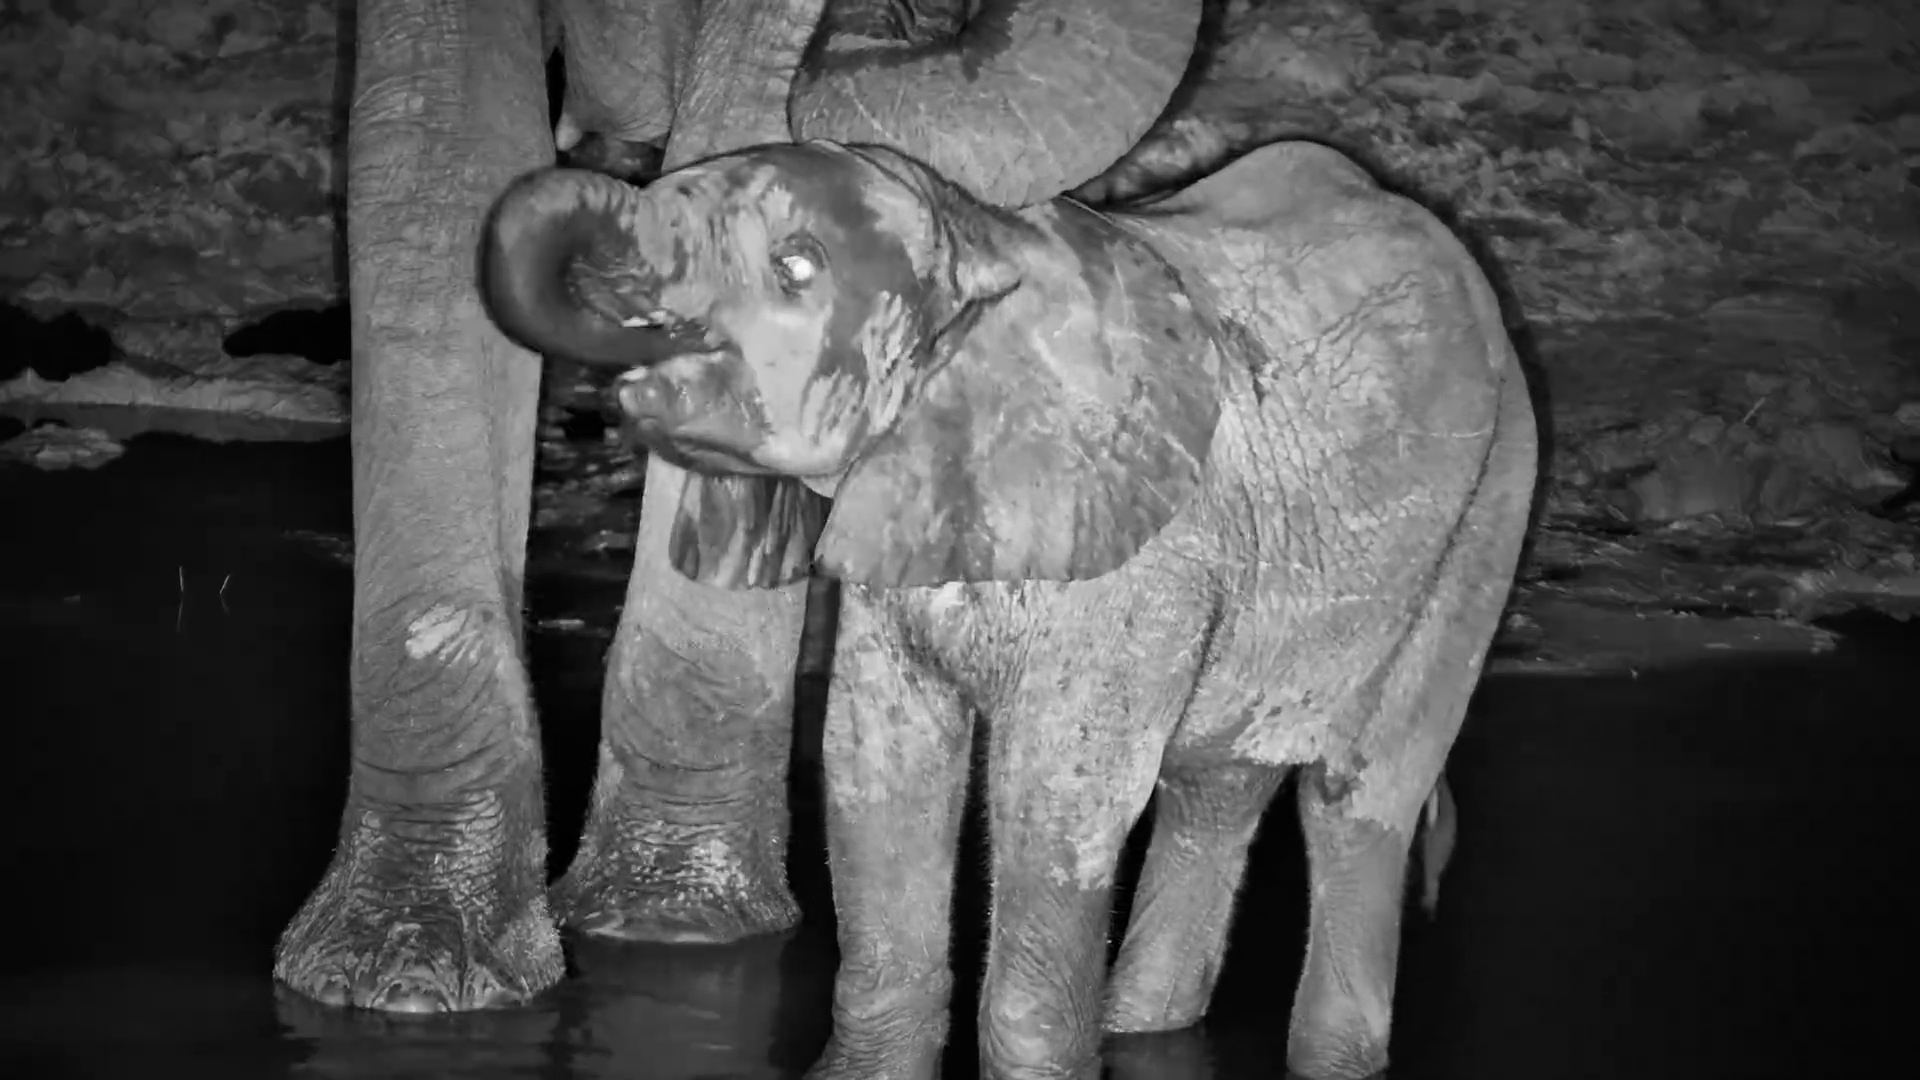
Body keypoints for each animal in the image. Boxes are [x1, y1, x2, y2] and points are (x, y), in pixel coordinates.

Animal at [477, 138, 1536, 1079]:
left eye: (795, 266)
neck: (976, 236)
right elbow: (876, 768)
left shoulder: (1142, 561)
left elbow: (1061, 796)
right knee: (1213, 787)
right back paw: (1139, 1024)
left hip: (1488, 513)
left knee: (1356, 799)